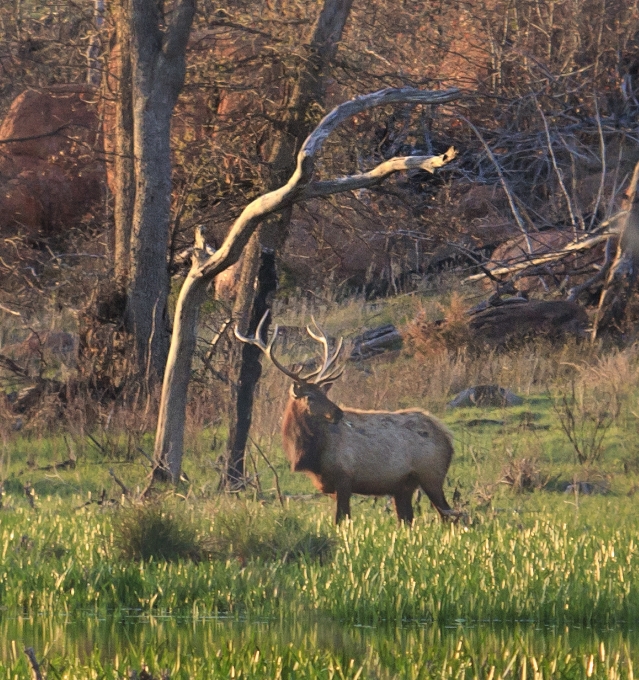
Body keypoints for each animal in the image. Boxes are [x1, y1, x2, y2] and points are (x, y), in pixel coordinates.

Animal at [235, 314, 456, 524]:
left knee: (450, 515)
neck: (310, 456)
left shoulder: (344, 478)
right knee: (409, 519)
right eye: (310, 396)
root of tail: (447, 437)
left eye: (324, 393)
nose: (339, 413)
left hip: (432, 475)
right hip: (404, 486)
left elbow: (341, 520)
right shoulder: (332, 487)